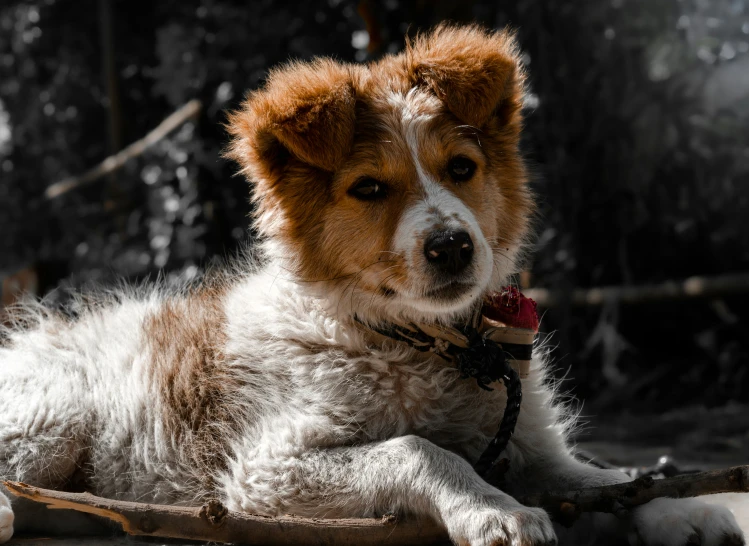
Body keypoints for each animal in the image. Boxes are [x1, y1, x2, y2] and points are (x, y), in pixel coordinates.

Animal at [0, 24, 744, 544]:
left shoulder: (533, 449)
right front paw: (491, 509)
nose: (452, 246)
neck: (414, 341)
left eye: (462, 168)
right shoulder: (264, 469)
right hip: (55, 412)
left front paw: (685, 507)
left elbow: (611, 476)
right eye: (368, 188)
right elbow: (416, 449)